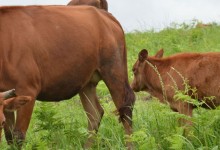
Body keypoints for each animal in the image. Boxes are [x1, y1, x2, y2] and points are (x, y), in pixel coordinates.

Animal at [0, 5, 135, 149]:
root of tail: (104, 15)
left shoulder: (28, 89)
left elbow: (18, 136)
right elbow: (9, 137)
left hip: (114, 69)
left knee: (125, 108)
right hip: (87, 82)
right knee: (95, 114)